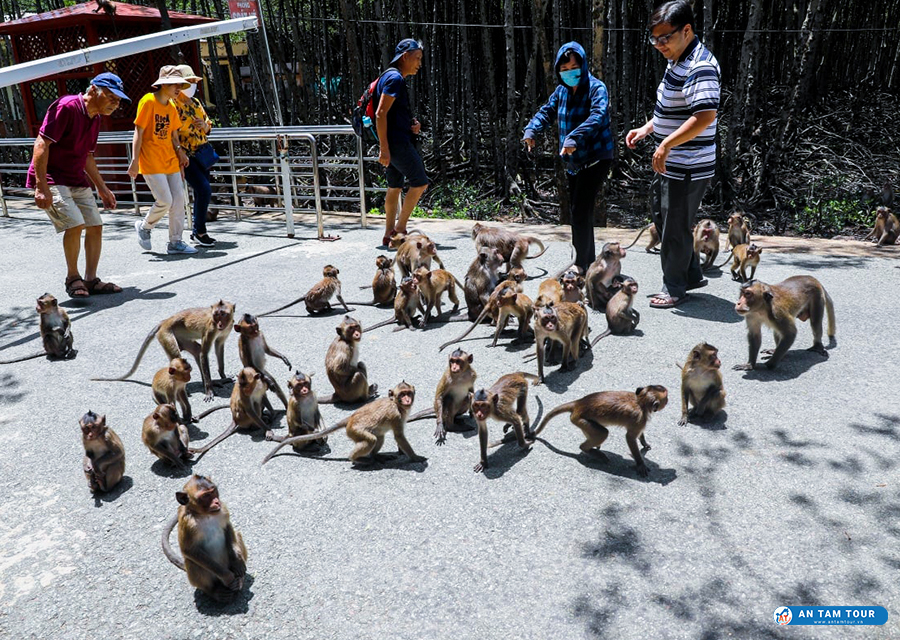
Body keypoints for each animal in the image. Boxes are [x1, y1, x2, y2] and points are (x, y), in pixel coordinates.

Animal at [92, 302, 236, 400]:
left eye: (223, 314)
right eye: (216, 315)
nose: (219, 324)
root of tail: (165, 321)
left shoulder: (227, 329)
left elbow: (219, 346)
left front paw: (222, 376)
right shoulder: (211, 329)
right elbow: (204, 353)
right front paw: (209, 390)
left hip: (180, 337)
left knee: (196, 349)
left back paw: (207, 381)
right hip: (165, 335)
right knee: (179, 355)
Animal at [262, 380, 428, 464]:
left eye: (408, 393)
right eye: (402, 394)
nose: (407, 400)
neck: (397, 404)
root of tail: (352, 417)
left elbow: (399, 437)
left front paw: (402, 452)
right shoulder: (396, 415)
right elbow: (399, 436)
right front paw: (414, 457)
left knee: (379, 437)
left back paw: (375, 457)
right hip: (354, 430)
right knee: (371, 440)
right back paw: (356, 459)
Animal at [528, 388, 668, 478]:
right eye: (666, 398)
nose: (668, 400)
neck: (640, 401)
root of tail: (579, 403)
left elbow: (637, 435)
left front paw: (644, 443)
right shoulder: (639, 418)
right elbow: (630, 437)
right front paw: (640, 463)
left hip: (579, 421)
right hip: (578, 419)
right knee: (603, 433)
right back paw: (588, 450)